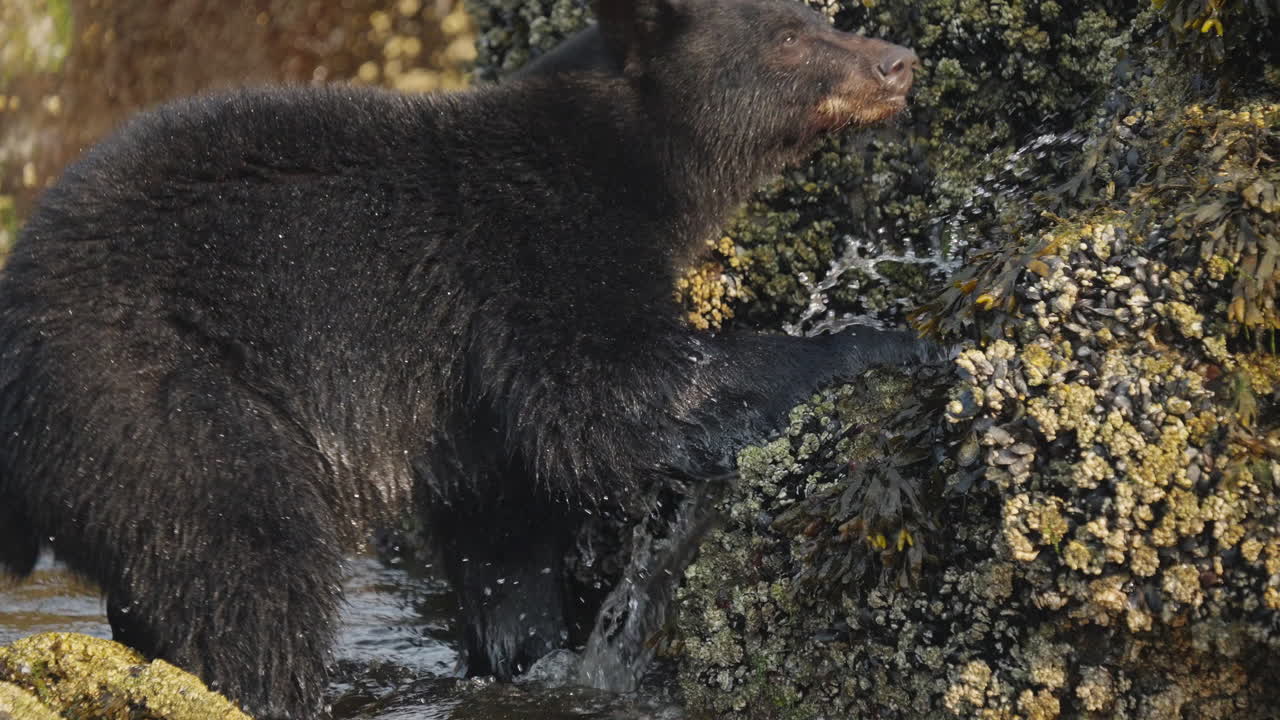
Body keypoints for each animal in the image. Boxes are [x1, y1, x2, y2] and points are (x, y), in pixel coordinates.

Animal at [0, 0, 920, 716]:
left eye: (821, 15)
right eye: (789, 37)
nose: (899, 62)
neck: (629, 159)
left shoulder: (469, 405)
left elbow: (504, 527)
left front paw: (523, 646)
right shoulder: (534, 247)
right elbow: (614, 393)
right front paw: (878, 337)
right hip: (153, 393)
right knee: (246, 562)